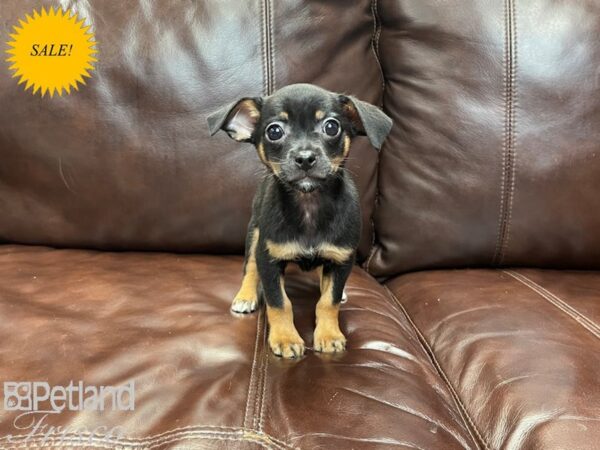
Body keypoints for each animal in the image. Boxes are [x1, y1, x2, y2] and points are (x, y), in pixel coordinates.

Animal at [209, 83, 392, 358]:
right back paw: (246, 295)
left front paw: (329, 335)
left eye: (332, 127)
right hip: (254, 234)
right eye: (274, 131)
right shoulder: (269, 259)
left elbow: (328, 301)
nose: (305, 157)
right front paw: (285, 338)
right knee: (249, 267)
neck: (309, 204)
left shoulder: (341, 260)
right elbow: (279, 302)